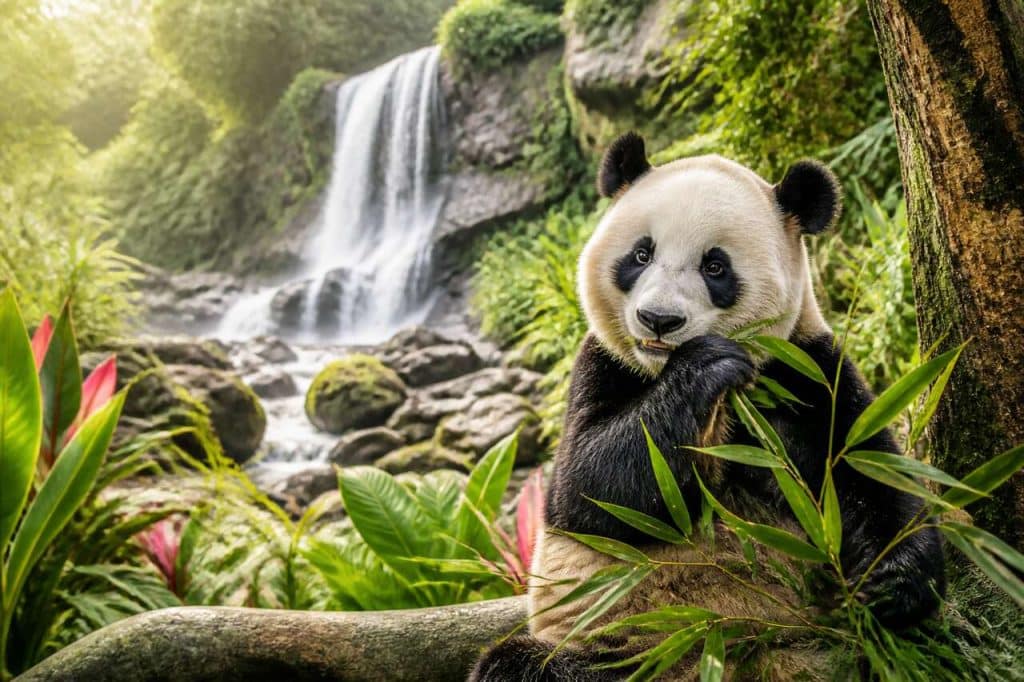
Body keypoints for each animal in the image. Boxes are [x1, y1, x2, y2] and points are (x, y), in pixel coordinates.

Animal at [470, 133, 946, 681]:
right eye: (641, 254)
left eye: (714, 267)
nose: (658, 320)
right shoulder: (602, 364)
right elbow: (588, 489)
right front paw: (708, 364)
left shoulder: (807, 369)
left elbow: (864, 466)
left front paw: (897, 581)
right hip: (614, 647)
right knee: (521, 664)